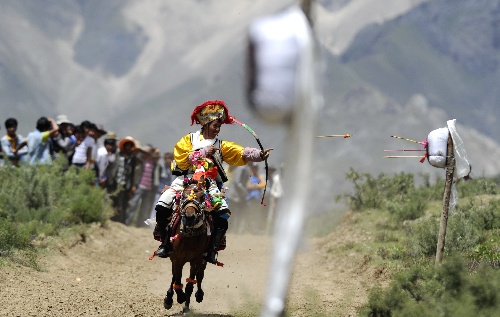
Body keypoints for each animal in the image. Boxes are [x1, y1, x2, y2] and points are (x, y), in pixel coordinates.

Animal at [164, 179, 211, 312]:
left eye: (202, 197)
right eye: (183, 196)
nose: (190, 217)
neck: (189, 235)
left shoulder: (196, 259)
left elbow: (190, 283)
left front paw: (185, 306)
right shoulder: (176, 258)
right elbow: (177, 277)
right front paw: (176, 298)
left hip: (203, 260)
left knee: (199, 276)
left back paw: (199, 295)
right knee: (174, 276)